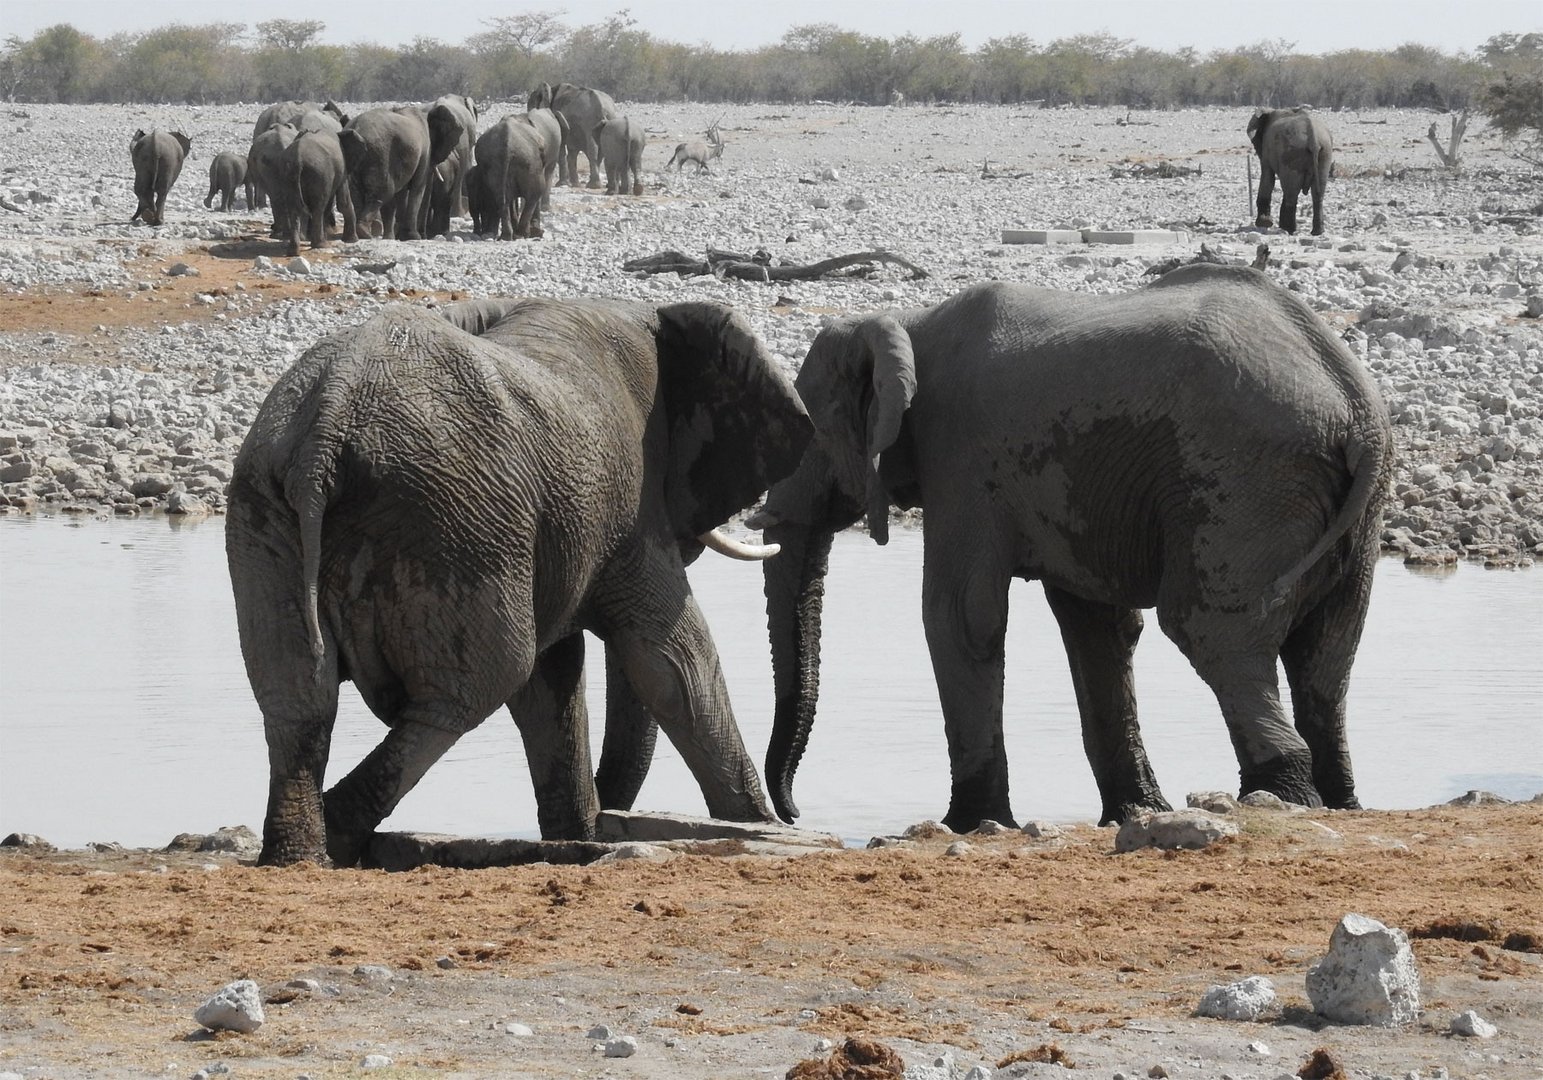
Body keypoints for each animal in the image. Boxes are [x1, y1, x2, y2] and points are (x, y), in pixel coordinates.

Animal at [225, 297, 820, 870]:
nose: (793, 813)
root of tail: (327, 424)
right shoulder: (632, 507)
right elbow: (672, 661)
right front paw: (759, 826)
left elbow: (557, 678)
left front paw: (576, 838)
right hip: (456, 520)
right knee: (474, 686)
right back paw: (336, 830)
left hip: (271, 515)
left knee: (298, 698)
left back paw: (297, 854)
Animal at [336, 102, 459, 237]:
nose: (424, 236)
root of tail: (356, 129)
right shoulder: (424, 152)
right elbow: (417, 188)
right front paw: (412, 237)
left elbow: (402, 192)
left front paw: (402, 236)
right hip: (380, 154)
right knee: (384, 192)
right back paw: (366, 232)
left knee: (359, 195)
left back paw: (367, 233)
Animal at [752, 265, 1394, 833]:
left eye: (804, 434)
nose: (794, 814)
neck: (910, 324)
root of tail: (1355, 405)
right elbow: (1097, 626)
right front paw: (1136, 812)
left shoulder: (961, 458)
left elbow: (960, 615)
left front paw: (971, 824)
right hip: (1340, 508)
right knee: (1328, 651)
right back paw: (1340, 802)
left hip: (1245, 481)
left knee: (1209, 631)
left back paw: (1283, 798)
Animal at [1246, 108, 1333, 237]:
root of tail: (1314, 139)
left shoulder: (1267, 149)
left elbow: (1267, 177)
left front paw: (1264, 223)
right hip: (1325, 153)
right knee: (1317, 193)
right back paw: (1317, 232)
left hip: (1292, 153)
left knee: (1291, 193)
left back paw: (1289, 230)